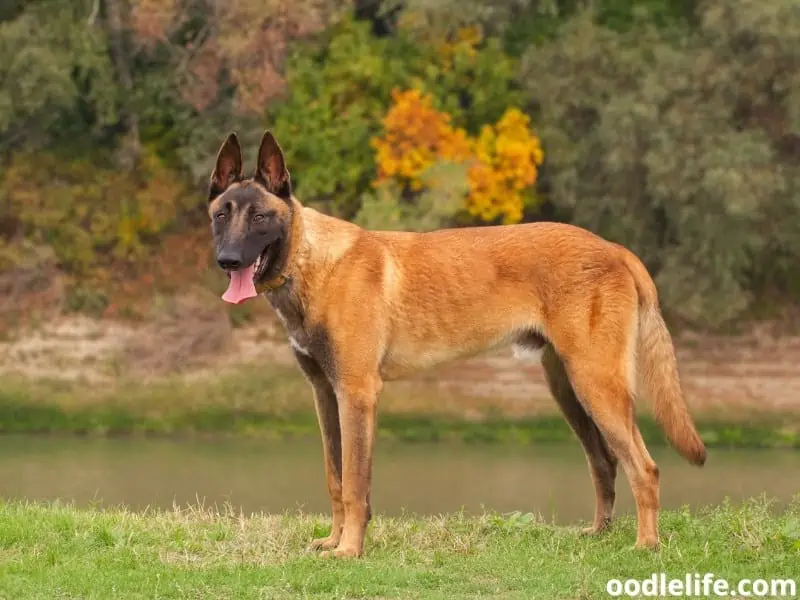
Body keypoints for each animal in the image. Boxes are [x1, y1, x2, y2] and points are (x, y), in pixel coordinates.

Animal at [206, 130, 708, 556]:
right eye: (220, 216)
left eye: (260, 217)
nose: (226, 261)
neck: (313, 261)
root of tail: (615, 249)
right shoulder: (326, 395)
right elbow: (335, 477)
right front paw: (333, 541)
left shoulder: (357, 394)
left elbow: (354, 484)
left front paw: (349, 550)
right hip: (569, 390)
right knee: (604, 463)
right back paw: (599, 534)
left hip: (596, 385)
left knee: (644, 467)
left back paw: (645, 545)